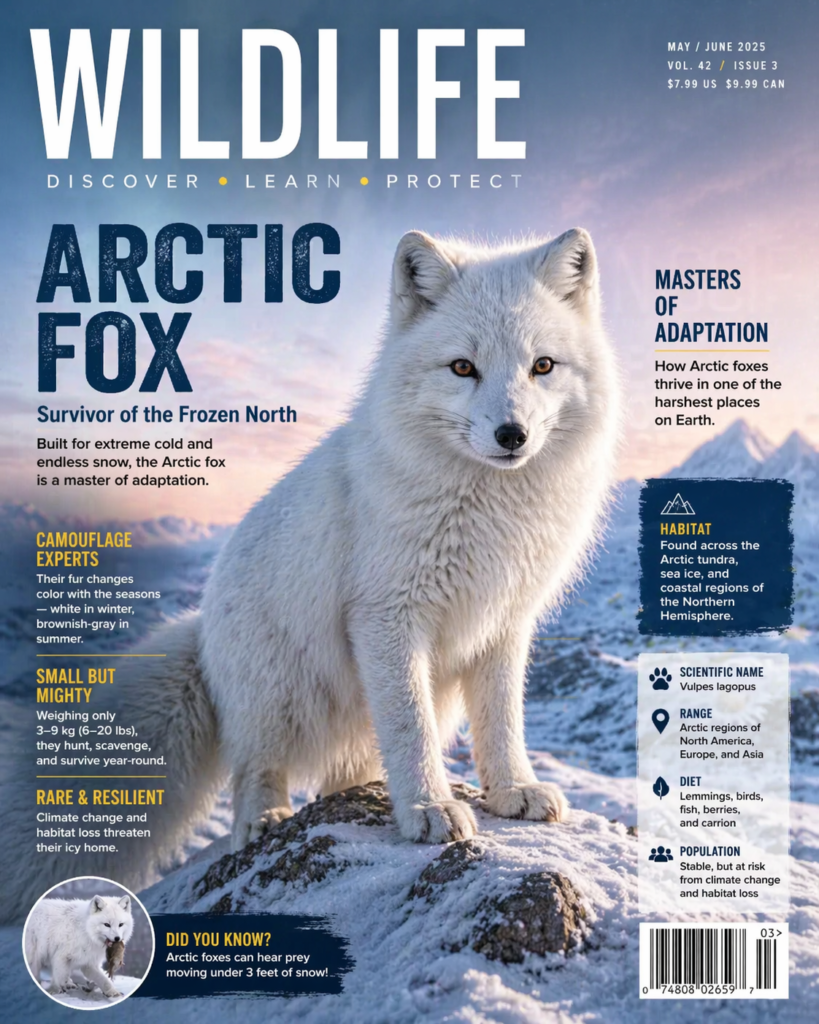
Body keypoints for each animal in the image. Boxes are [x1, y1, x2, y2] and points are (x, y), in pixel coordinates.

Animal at [1, 228, 620, 920]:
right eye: (463, 367)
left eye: (543, 366)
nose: (511, 434)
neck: (491, 509)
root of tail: (200, 624)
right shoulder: (387, 615)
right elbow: (409, 728)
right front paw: (430, 808)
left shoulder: (505, 622)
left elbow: (503, 721)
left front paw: (512, 791)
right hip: (276, 697)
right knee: (254, 769)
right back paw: (265, 820)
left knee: (341, 776)